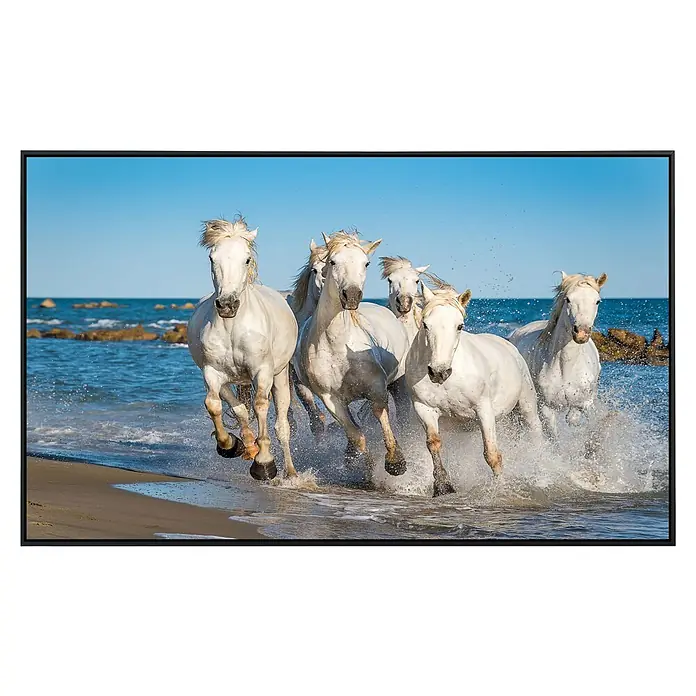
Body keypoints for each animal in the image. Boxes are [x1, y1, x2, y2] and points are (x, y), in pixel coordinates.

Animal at [188, 217, 299, 481]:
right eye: (212, 258)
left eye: (246, 259)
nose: (227, 304)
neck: (232, 327)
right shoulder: (212, 372)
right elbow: (215, 405)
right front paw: (230, 445)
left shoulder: (263, 372)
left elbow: (260, 406)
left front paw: (265, 463)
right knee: (238, 409)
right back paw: (247, 445)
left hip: (280, 377)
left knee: (282, 425)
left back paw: (290, 473)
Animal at [296, 230, 411, 479]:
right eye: (333, 262)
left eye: (365, 263)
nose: (351, 295)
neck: (337, 345)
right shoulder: (330, 398)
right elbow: (356, 435)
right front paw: (366, 468)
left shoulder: (376, 387)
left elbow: (379, 412)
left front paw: (395, 462)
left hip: (399, 385)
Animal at [405, 277, 543, 496]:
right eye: (426, 324)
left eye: (460, 326)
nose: (439, 372)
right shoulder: (424, 408)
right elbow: (434, 444)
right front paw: (443, 486)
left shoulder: (483, 409)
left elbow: (492, 455)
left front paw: (500, 489)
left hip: (527, 406)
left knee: (535, 434)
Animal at [508, 272, 607, 438]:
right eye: (568, 299)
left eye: (597, 301)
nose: (581, 333)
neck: (566, 367)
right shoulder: (546, 408)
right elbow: (554, 435)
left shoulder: (587, 402)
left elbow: (575, 417)